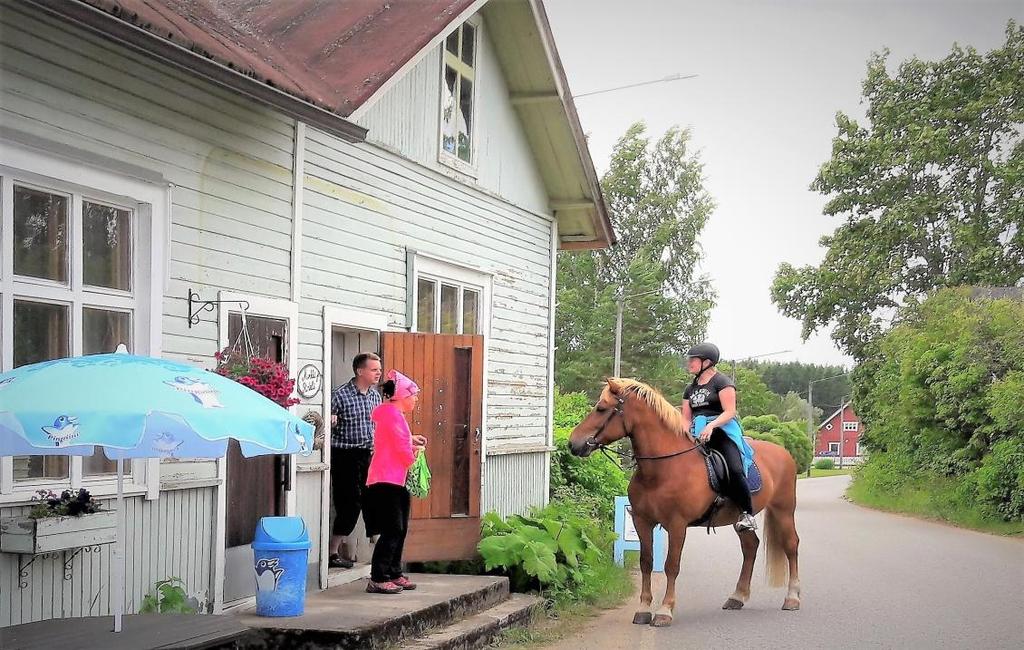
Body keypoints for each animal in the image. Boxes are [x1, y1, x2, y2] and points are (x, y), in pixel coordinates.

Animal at [569, 378, 798, 626]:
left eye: (601, 408)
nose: (573, 443)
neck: (662, 468)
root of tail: (783, 452)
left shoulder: (677, 524)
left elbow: (672, 565)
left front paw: (664, 610)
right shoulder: (642, 521)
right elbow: (646, 562)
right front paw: (643, 608)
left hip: (784, 510)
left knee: (791, 545)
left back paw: (792, 598)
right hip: (740, 518)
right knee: (750, 547)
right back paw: (737, 596)